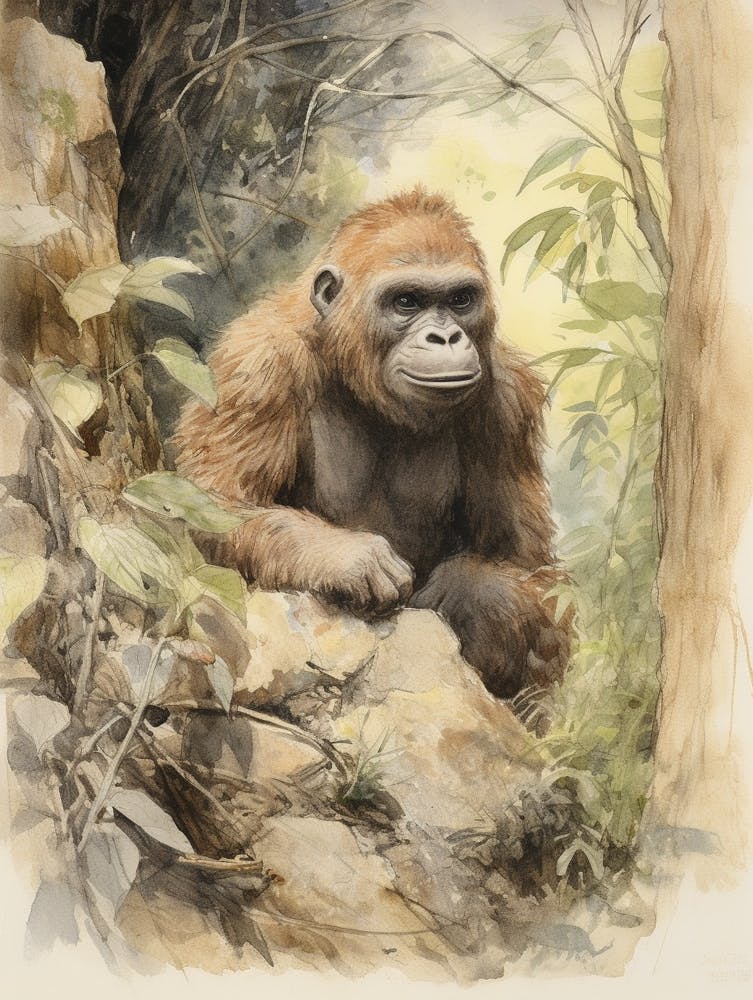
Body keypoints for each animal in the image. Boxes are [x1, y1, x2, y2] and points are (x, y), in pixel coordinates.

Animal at [174, 188, 571, 698]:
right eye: (406, 301)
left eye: (461, 299)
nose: (445, 336)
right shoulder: (257, 365)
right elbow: (209, 510)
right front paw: (344, 558)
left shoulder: (509, 400)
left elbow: (532, 571)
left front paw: (472, 589)